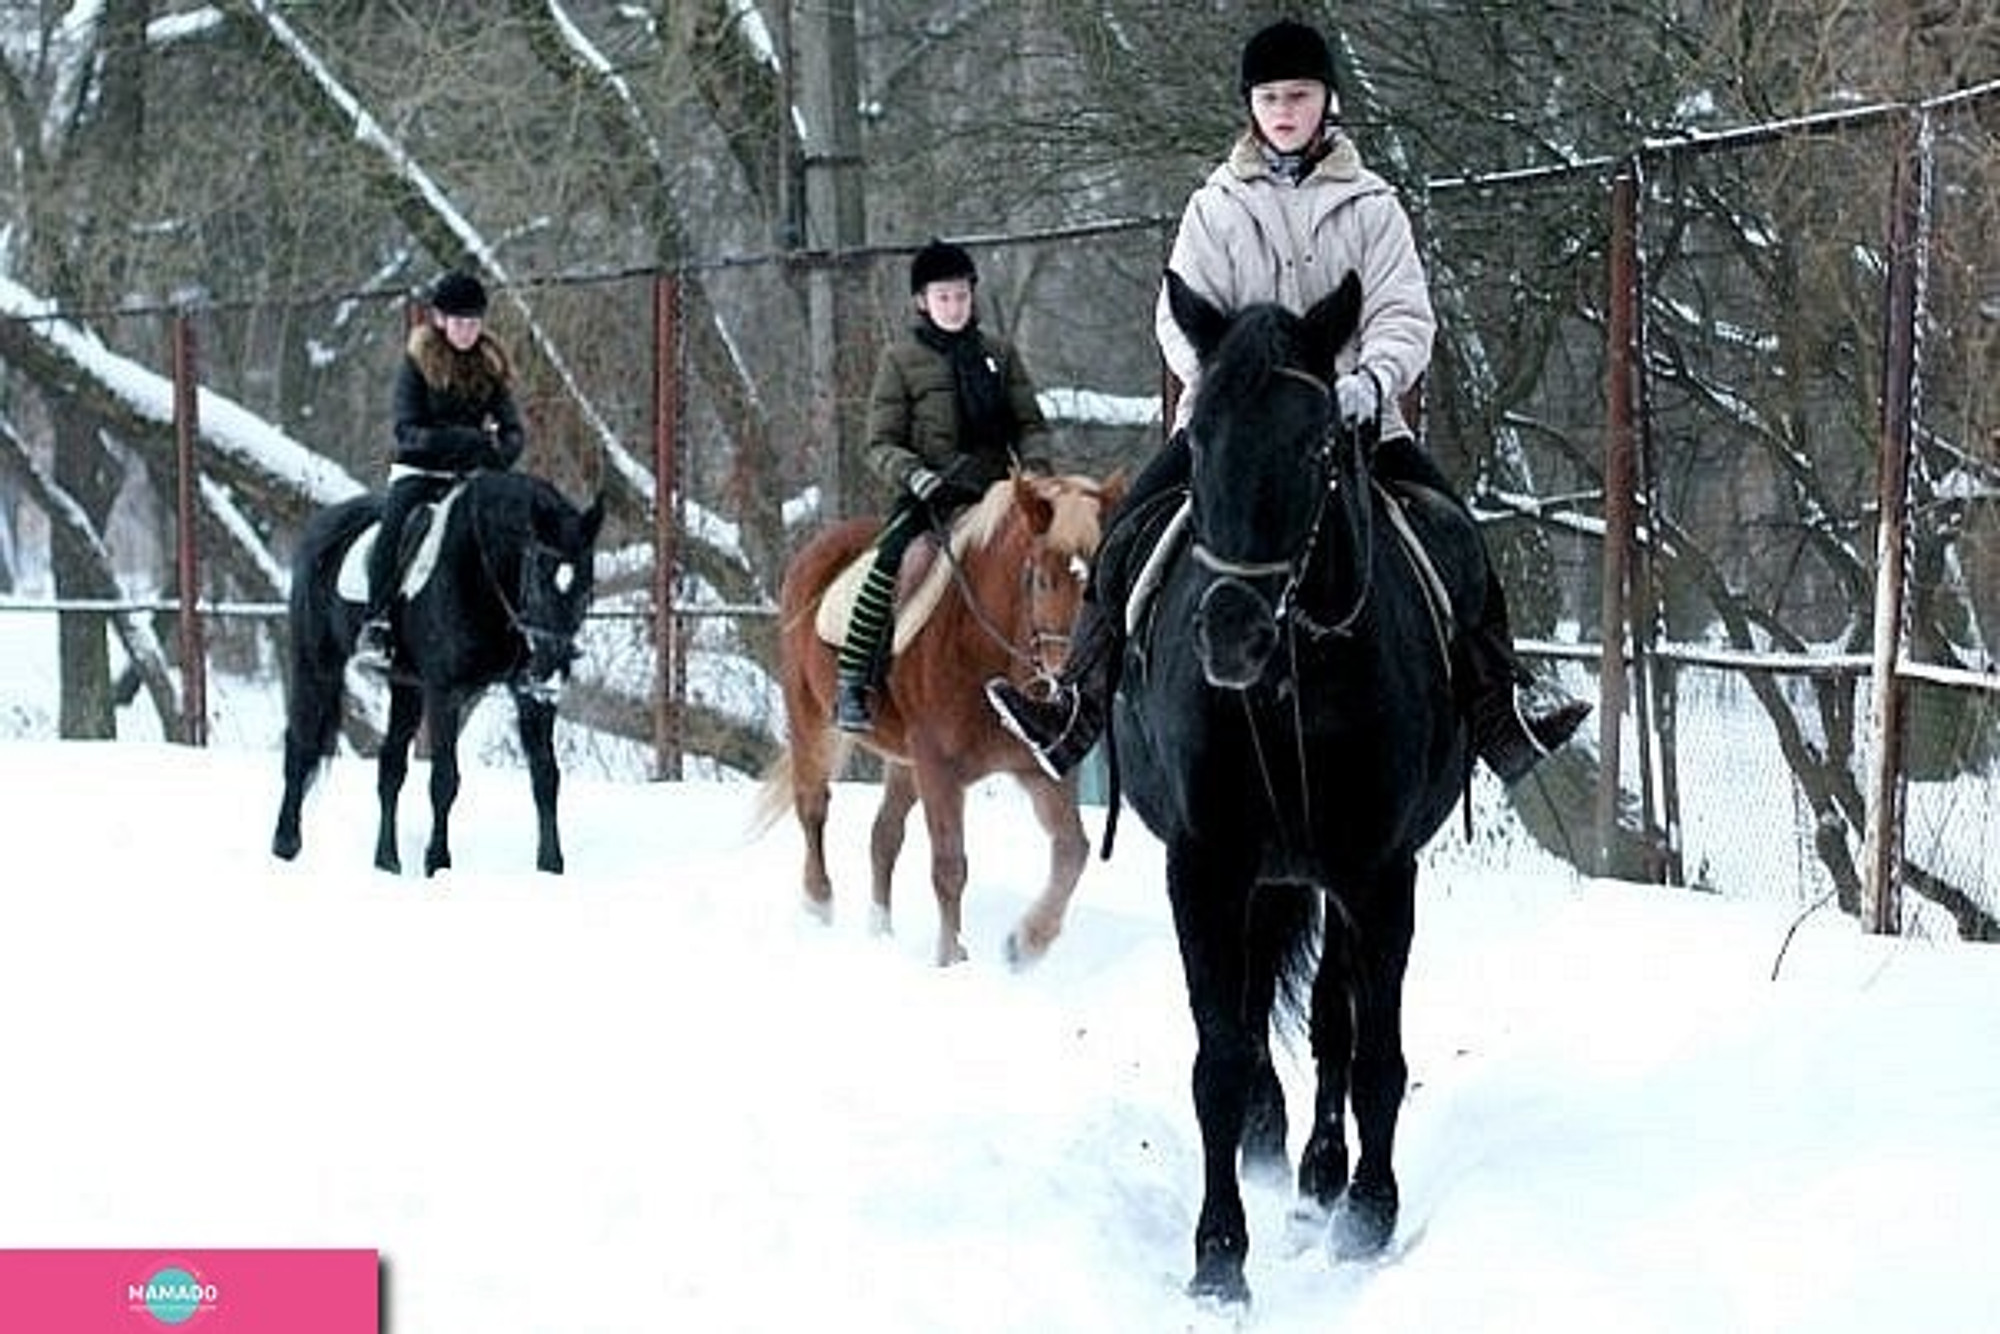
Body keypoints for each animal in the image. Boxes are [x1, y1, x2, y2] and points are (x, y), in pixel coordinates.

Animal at [272, 470, 600, 876]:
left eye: (585, 587)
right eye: (538, 581)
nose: (550, 667)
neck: (484, 571)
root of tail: (321, 525)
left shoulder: (531, 698)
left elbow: (546, 776)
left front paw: (551, 866)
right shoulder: (445, 692)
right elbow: (444, 780)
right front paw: (438, 864)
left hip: (406, 687)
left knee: (390, 765)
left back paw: (387, 861)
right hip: (317, 668)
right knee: (300, 746)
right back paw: (286, 845)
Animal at [752, 472, 1120, 972]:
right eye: (1044, 580)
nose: (1076, 674)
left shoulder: (1038, 770)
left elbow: (1072, 850)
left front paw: (1026, 944)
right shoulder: (939, 768)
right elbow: (950, 866)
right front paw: (952, 960)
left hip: (904, 761)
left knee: (884, 836)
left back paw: (880, 932)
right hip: (810, 717)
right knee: (813, 806)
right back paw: (818, 905)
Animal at [1120, 272, 1496, 1304]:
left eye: (1317, 443)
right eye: (1199, 439)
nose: (1230, 634)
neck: (1295, 673)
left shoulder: (1377, 870)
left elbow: (1371, 1051)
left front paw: (1368, 1213)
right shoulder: (1205, 868)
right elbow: (1218, 1057)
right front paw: (1218, 1258)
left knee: (1331, 1016)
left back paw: (1324, 1174)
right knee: (1259, 1018)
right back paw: (1271, 1142)